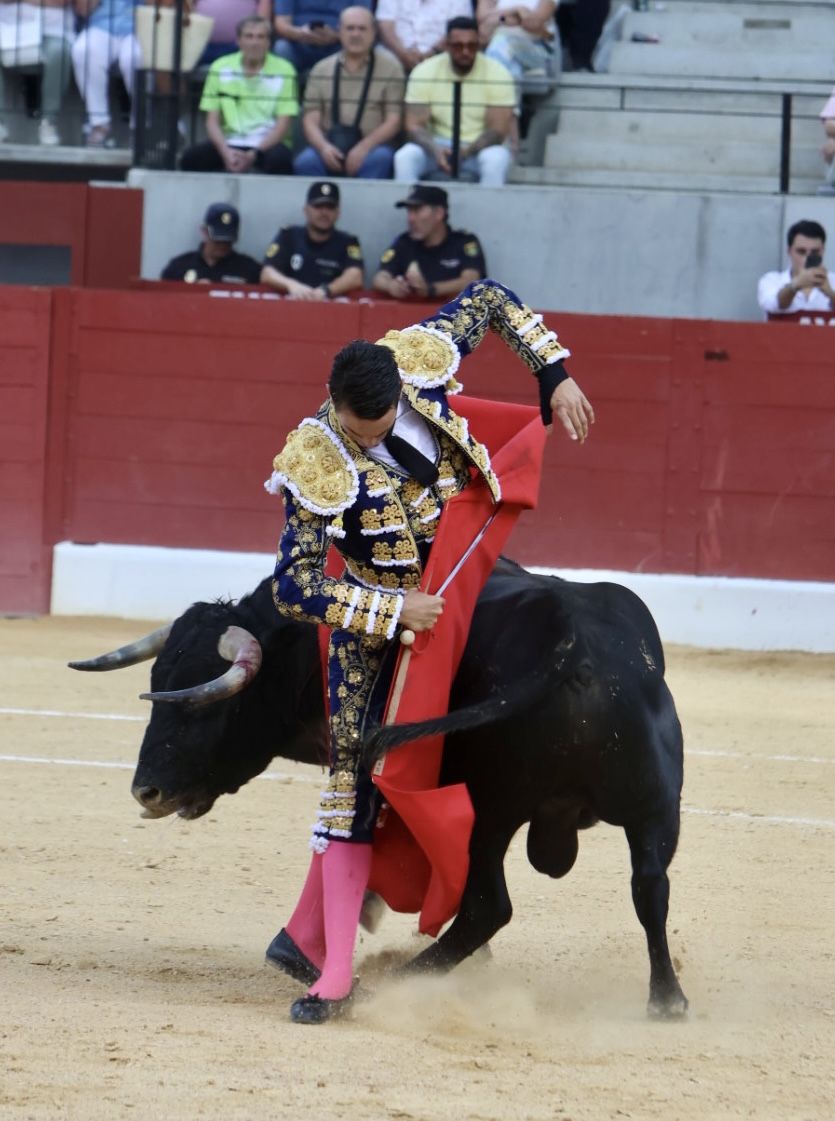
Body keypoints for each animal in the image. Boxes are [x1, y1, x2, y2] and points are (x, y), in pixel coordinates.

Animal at [70, 558, 685, 1017]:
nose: (146, 792)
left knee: (488, 904)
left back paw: (397, 978)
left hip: (490, 809)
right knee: (650, 886)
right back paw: (667, 1000)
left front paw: (304, 947)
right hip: (655, 804)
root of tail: (570, 646)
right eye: (159, 683)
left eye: (206, 707)